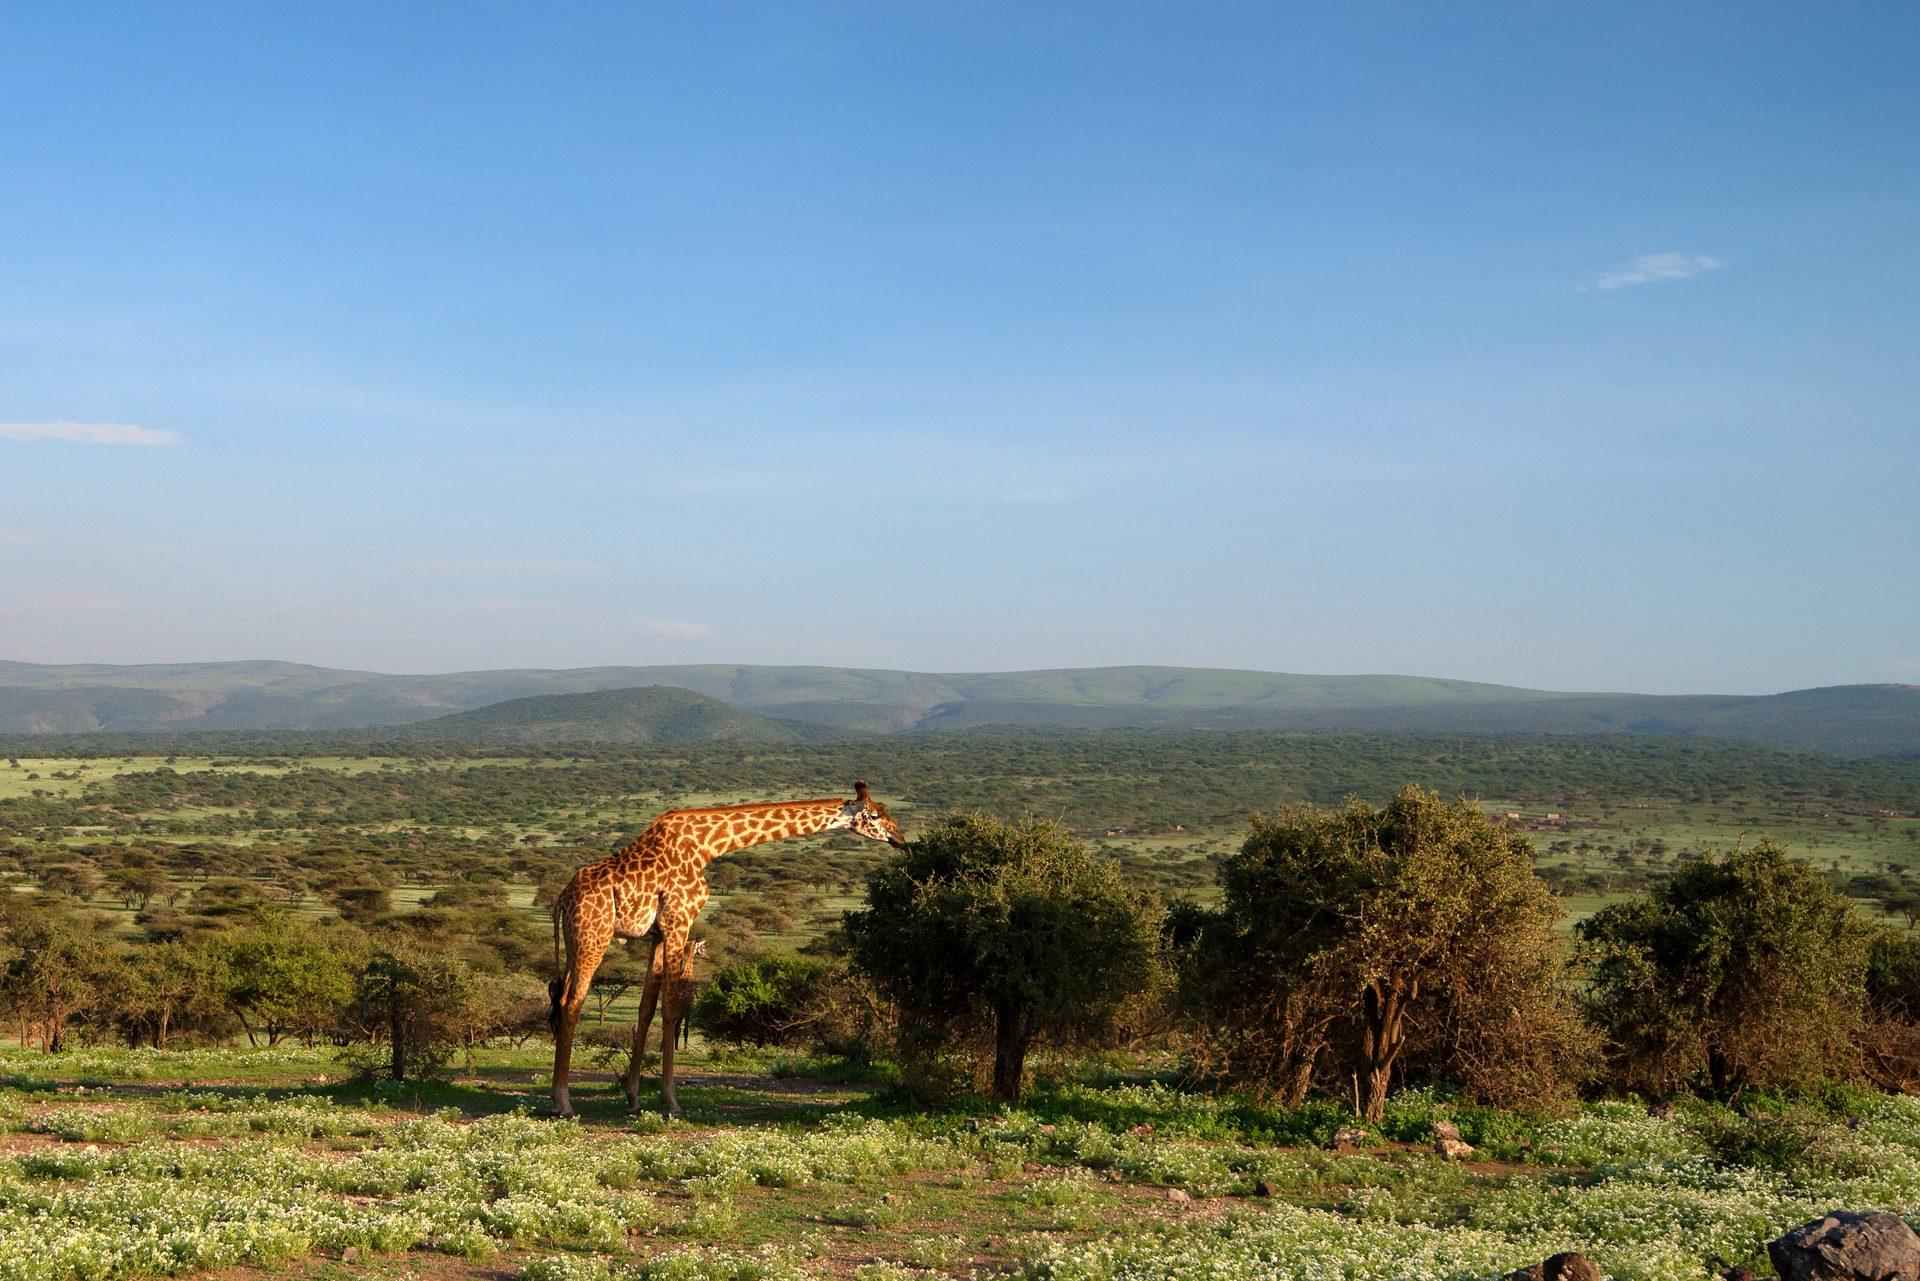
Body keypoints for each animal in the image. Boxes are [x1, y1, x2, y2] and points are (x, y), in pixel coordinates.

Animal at [547, 780, 906, 1117]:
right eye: (875, 816)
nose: (900, 838)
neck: (708, 845)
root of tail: (561, 900)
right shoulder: (680, 920)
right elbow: (671, 1007)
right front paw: (671, 1102)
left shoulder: (658, 933)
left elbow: (647, 1007)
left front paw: (634, 1097)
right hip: (594, 936)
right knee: (573, 1002)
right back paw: (563, 1103)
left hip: (576, 941)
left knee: (562, 998)